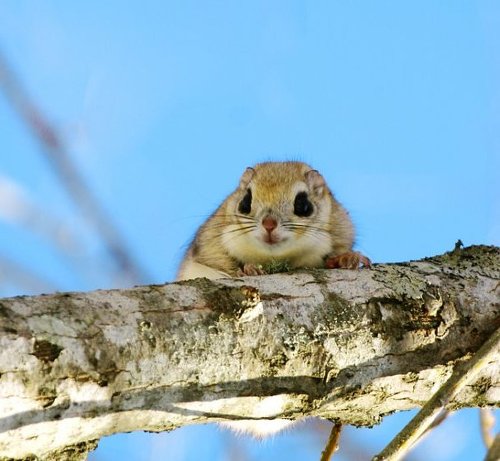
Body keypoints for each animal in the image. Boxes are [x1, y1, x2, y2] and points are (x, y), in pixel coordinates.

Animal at [178, 161, 370, 434]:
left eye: (303, 204)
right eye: (245, 202)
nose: (269, 224)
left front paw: (346, 258)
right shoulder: (208, 245)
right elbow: (223, 264)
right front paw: (248, 269)